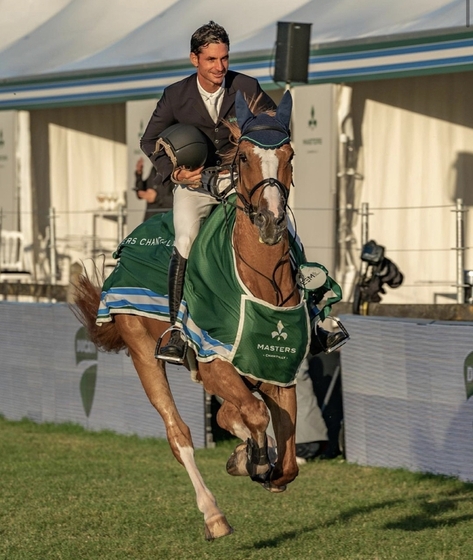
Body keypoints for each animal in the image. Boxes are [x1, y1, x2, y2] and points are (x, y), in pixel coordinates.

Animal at [71, 91, 304, 540]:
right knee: (178, 434)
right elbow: (254, 415)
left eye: (290, 155)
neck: (259, 279)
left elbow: (285, 463)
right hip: (143, 350)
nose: (270, 222)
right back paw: (214, 515)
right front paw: (253, 459)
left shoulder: (276, 369)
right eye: (244, 156)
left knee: (230, 415)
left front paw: (251, 459)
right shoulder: (214, 362)